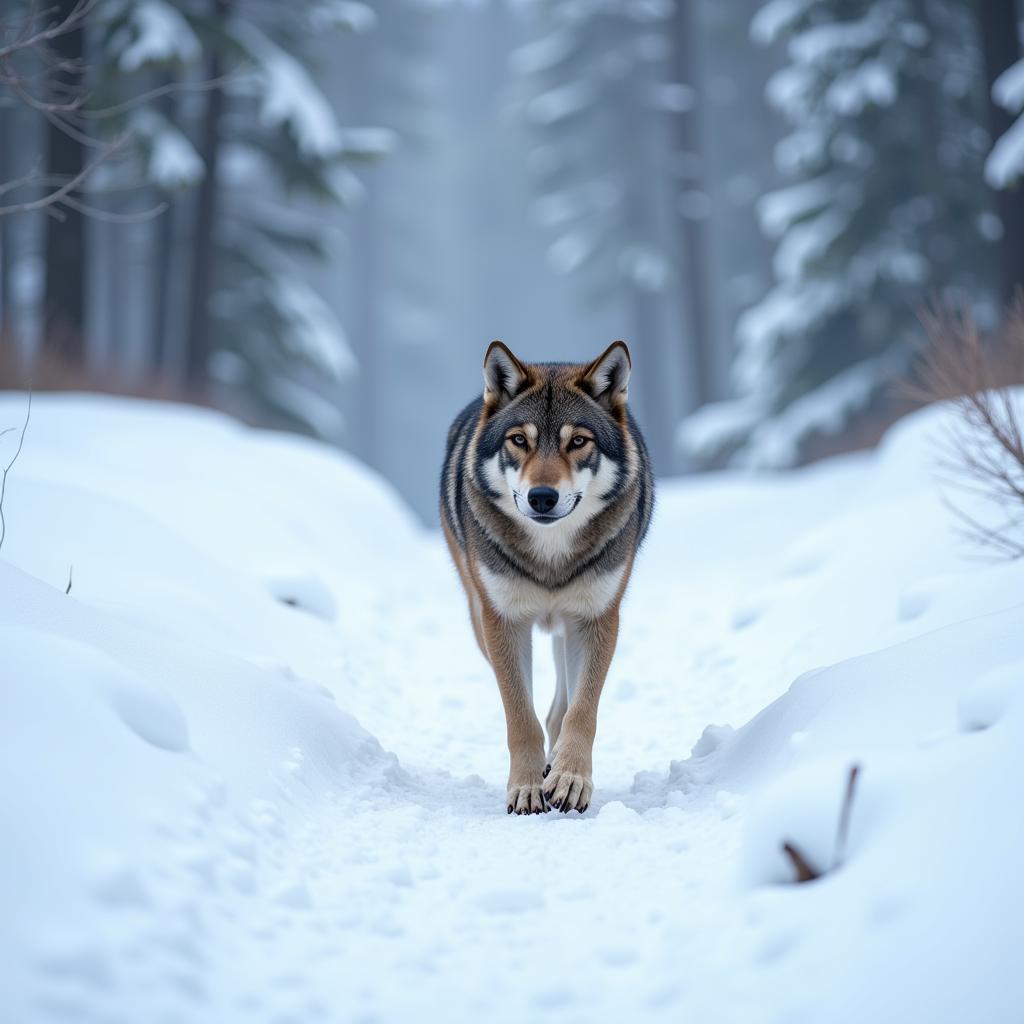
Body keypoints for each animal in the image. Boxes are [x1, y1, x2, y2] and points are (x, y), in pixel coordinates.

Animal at [442, 342, 655, 815]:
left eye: (577, 441)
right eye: (519, 440)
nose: (542, 497)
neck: (550, 557)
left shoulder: (598, 618)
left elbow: (581, 711)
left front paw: (571, 778)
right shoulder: (501, 621)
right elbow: (521, 718)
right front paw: (525, 787)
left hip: (567, 626)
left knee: (560, 704)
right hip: (479, 620)